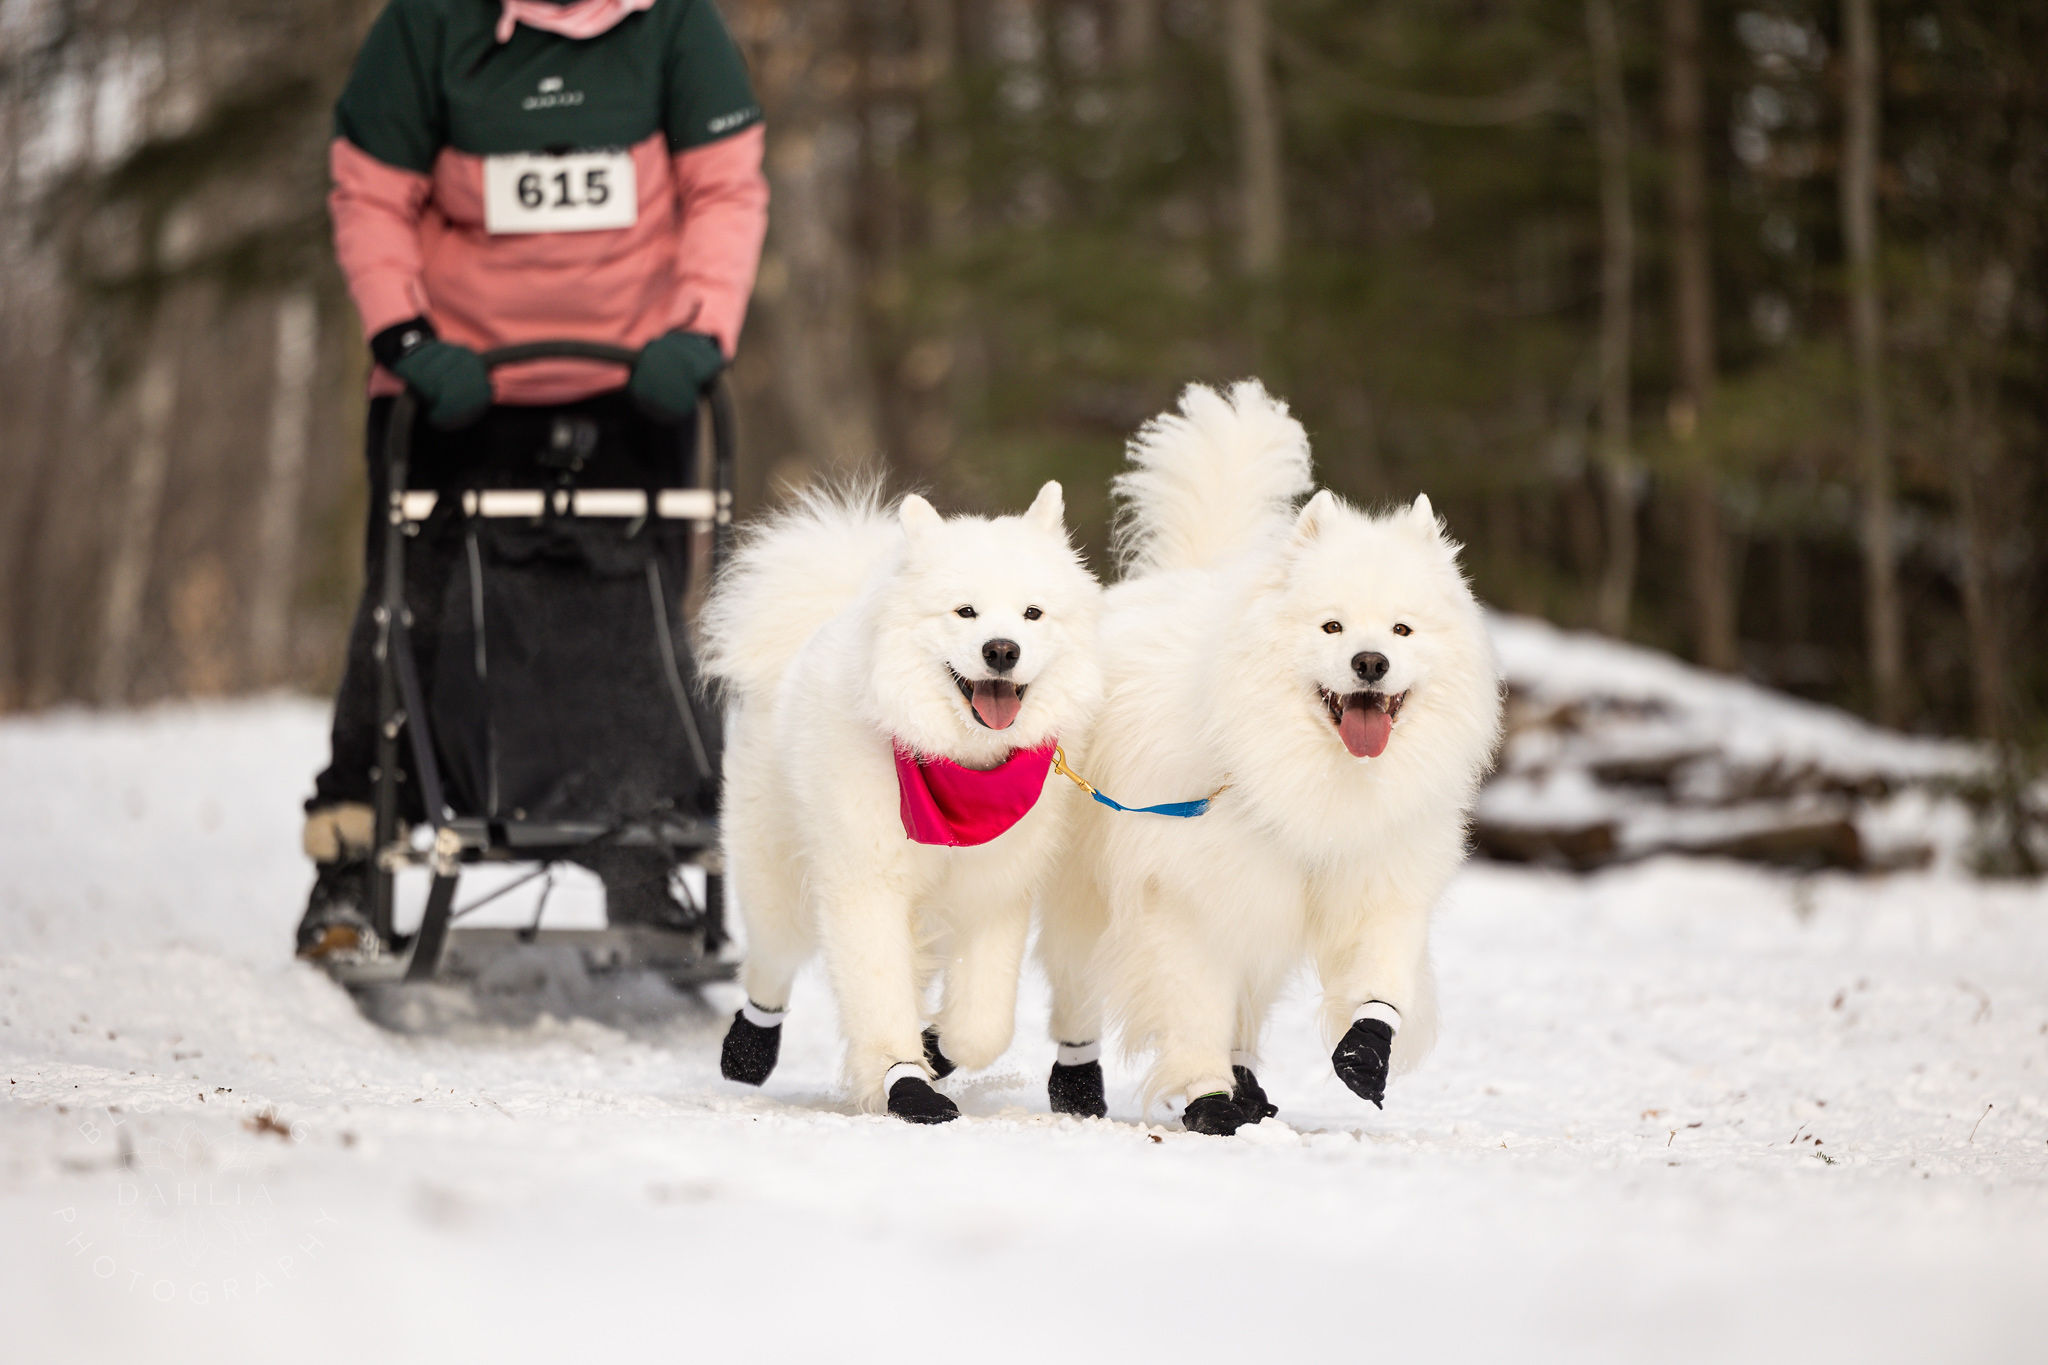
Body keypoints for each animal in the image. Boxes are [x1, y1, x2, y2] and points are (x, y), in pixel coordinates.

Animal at [700, 480, 1105, 1121]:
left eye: (1032, 613)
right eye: (965, 611)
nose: (1002, 650)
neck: (962, 770)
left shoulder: (996, 891)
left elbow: (983, 1027)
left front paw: (936, 1048)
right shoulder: (866, 884)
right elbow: (879, 993)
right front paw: (905, 1082)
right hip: (775, 879)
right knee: (770, 964)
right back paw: (748, 1049)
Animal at [1040, 382, 1507, 1129]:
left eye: (1402, 629)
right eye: (1332, 626)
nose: (1370, 661)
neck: (1313, 783)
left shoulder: (1379, 883)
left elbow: (1381, 982)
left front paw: (1364, 1053)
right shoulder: (1189, 903)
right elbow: (1194, 1008)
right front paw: (1207, 1100)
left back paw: (1251, 1086)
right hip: (1085, 895)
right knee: (1076, 990)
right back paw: (1079, 1089)